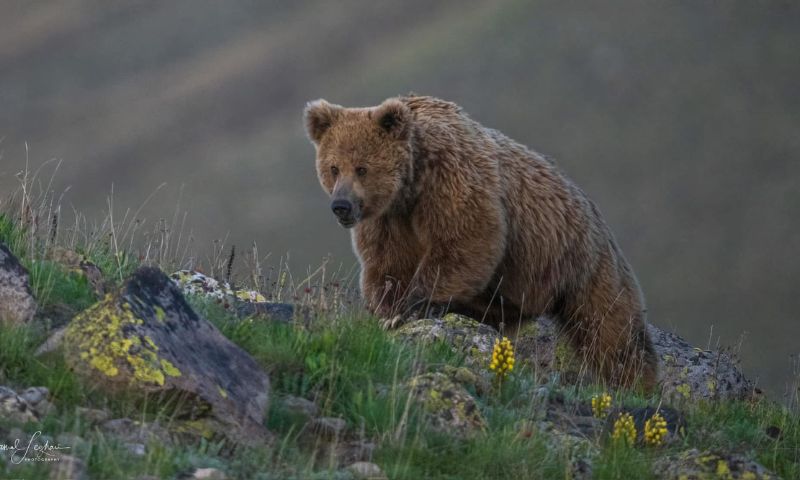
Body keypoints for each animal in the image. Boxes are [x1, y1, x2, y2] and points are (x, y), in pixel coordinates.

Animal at [304, 95, 658, 390]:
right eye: (333, 168)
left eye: (362, 168)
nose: (341, 206)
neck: (410, 184)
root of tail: (595, 214)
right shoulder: (388, 219)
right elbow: (388, 265)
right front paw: (389, 311)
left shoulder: (451, 180)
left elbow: (465, 239)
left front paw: (414, 305)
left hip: (582, 265)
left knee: (611, 332)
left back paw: (637, 384)